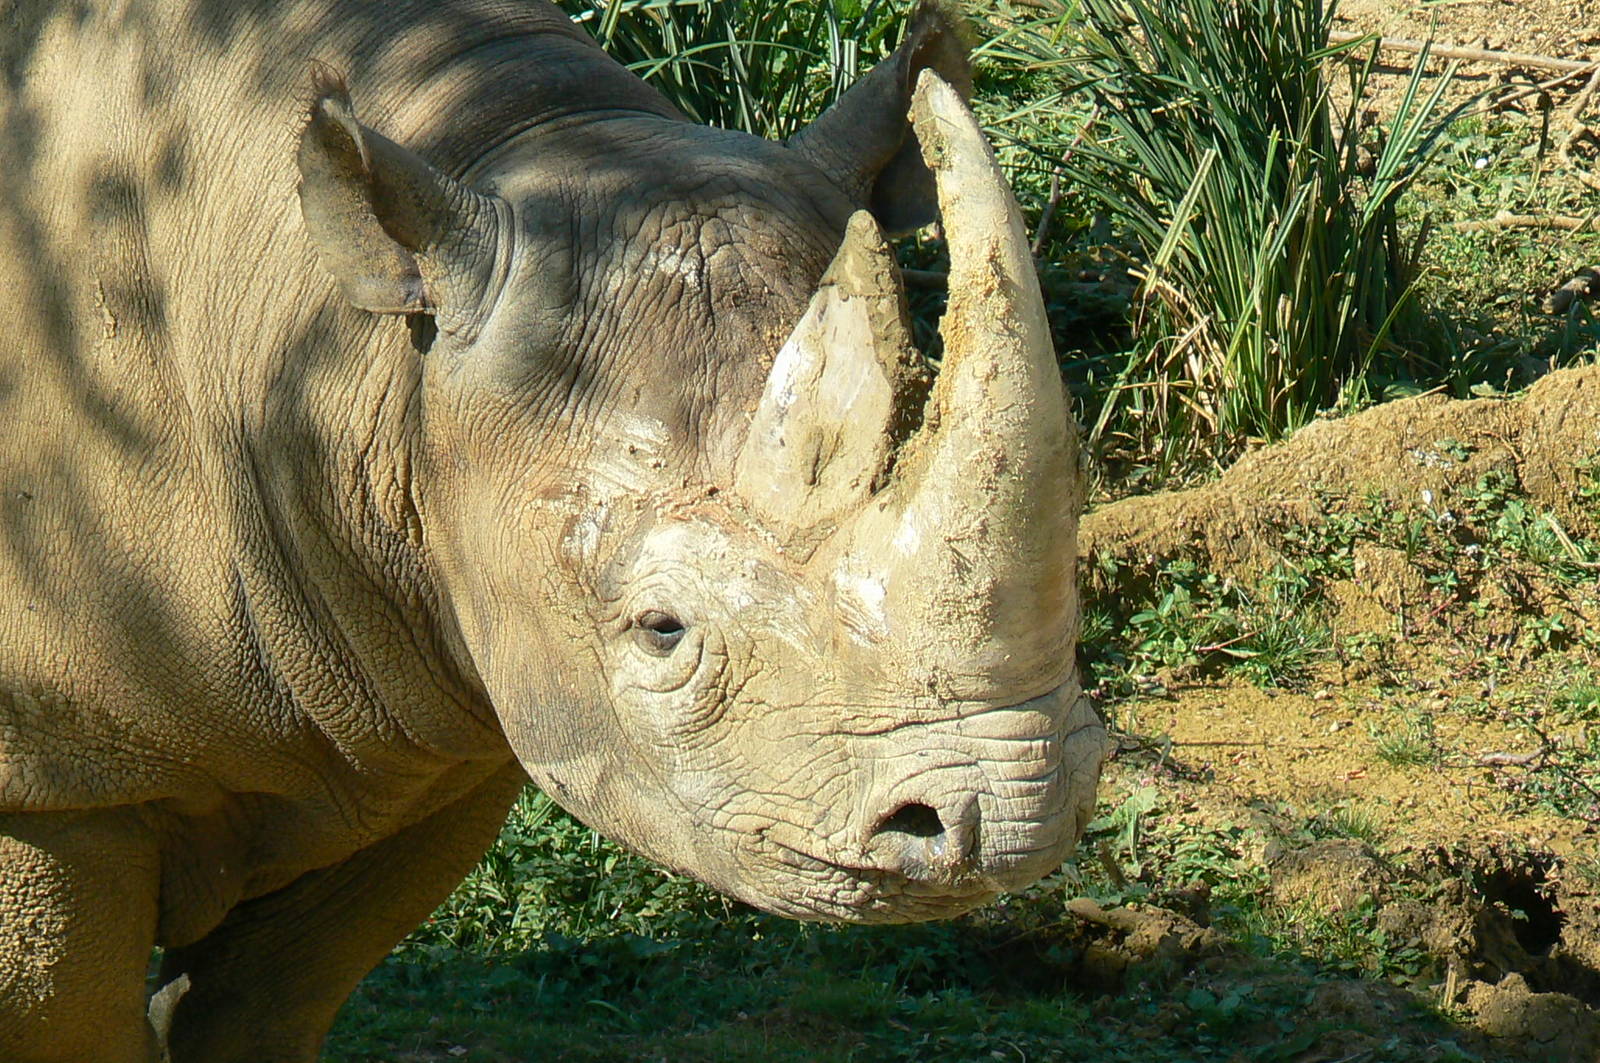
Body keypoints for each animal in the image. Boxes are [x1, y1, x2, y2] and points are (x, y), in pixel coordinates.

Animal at [0, 0, 1106, 1059]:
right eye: (660, 630)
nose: (1017, 815)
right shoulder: (53, 780)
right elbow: (64, 1019)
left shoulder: (423, 733)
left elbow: (267, 1006)